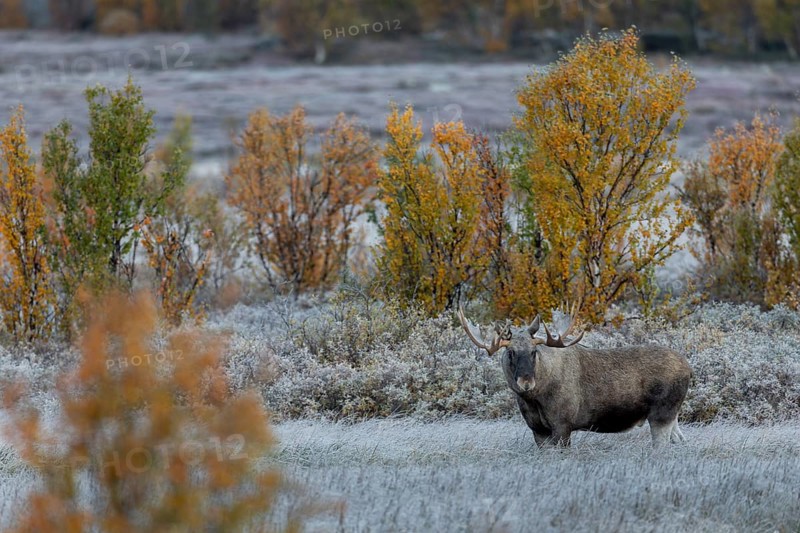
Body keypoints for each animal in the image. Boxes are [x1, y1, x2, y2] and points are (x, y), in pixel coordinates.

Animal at [457, 306, 692, 447]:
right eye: (510, 352)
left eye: (534, 352)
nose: (526, 382)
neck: (535, 399)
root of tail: (689, 369)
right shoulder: (538, 429)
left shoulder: (563, 425)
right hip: (672, 416)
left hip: (662, 413)